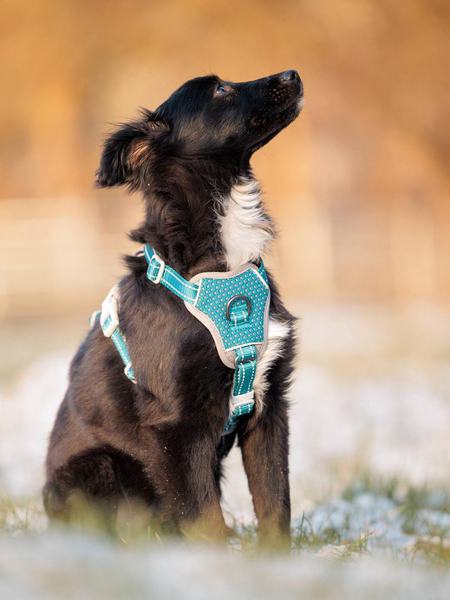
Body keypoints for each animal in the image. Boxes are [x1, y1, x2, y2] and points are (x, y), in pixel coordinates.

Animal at [44, 70, 303, 545]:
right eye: (221, 90)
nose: (293, 74)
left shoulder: (270, 405)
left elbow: (276, 501)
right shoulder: (175, 427)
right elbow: (204, 518)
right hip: (103, 466)